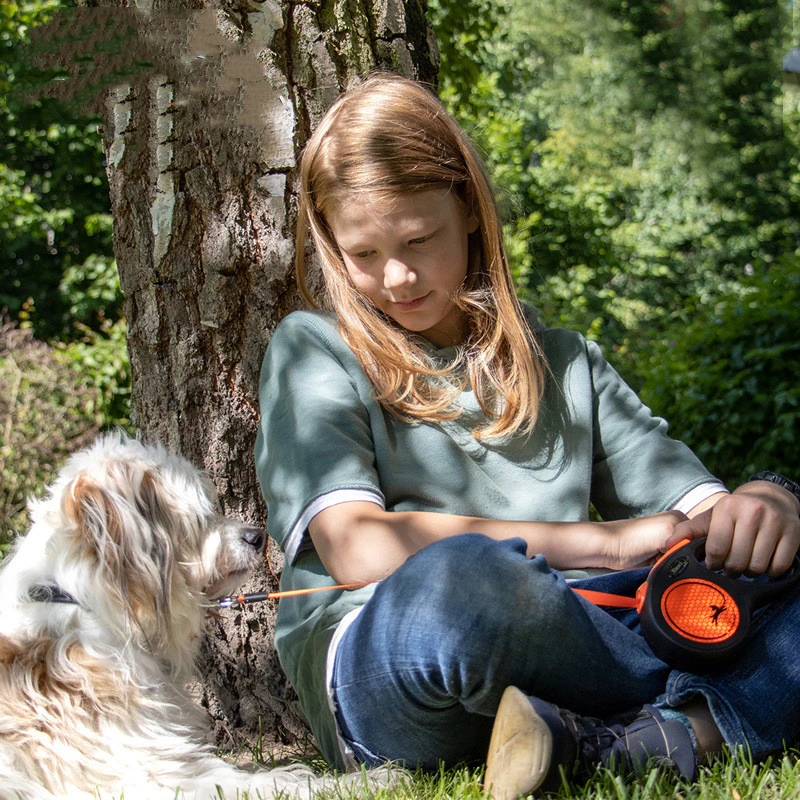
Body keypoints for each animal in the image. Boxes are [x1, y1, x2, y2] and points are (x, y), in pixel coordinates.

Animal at [0, 438, 378, 800]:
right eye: (198, 518)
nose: (256, 537)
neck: (77, 598)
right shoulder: (147, 776)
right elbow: (273, 783)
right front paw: (368, 781)